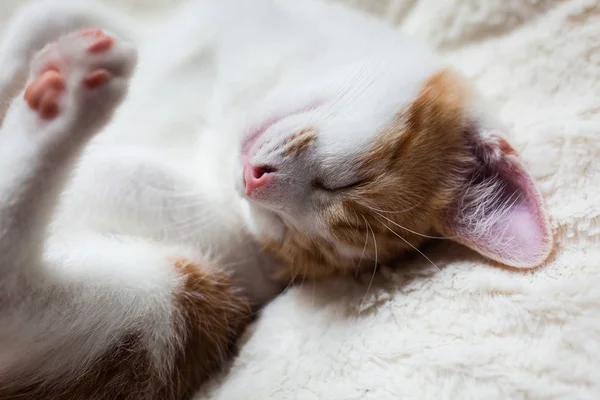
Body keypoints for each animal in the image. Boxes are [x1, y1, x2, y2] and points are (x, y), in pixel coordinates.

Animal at [0, 0, 552, 400]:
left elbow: (139, 177)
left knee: (17, 288)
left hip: (157, 307)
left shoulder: (239, 262)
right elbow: (49, 15)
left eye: (298, 239)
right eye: (347, 182)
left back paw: (65, 96)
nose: (254, 181)